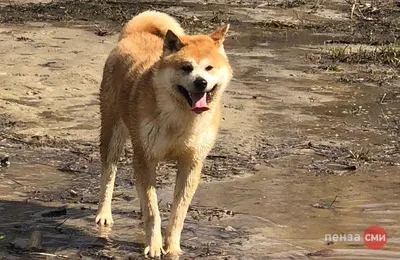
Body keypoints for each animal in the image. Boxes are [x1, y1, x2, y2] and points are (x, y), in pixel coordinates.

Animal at [95, 10, 231, 258]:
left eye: (209, 68)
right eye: (186, 67)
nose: (201, 82)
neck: (181, 119)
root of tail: (134, 34)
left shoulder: (191, 164)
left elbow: (178, 212)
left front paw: (173, 246)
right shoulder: (146, 157)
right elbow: (153, 211)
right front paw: (155, 246)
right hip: (112, 134)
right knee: (108, 175)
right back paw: (104, 214)